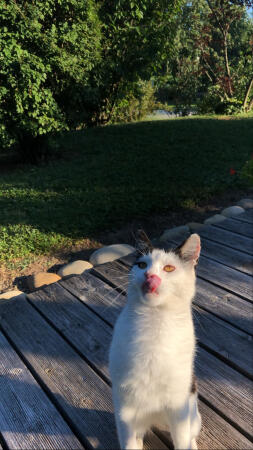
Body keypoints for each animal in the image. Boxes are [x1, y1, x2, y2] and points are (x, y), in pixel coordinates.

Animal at [108, 230, 202, 448]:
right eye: (142, 265)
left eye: (169, 268)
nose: (150, 276)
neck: (155, 320)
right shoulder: (124, 406)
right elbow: (128, 443)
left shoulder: (179, 405)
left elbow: (182, 442)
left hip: (193, 412)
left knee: (191, 435)